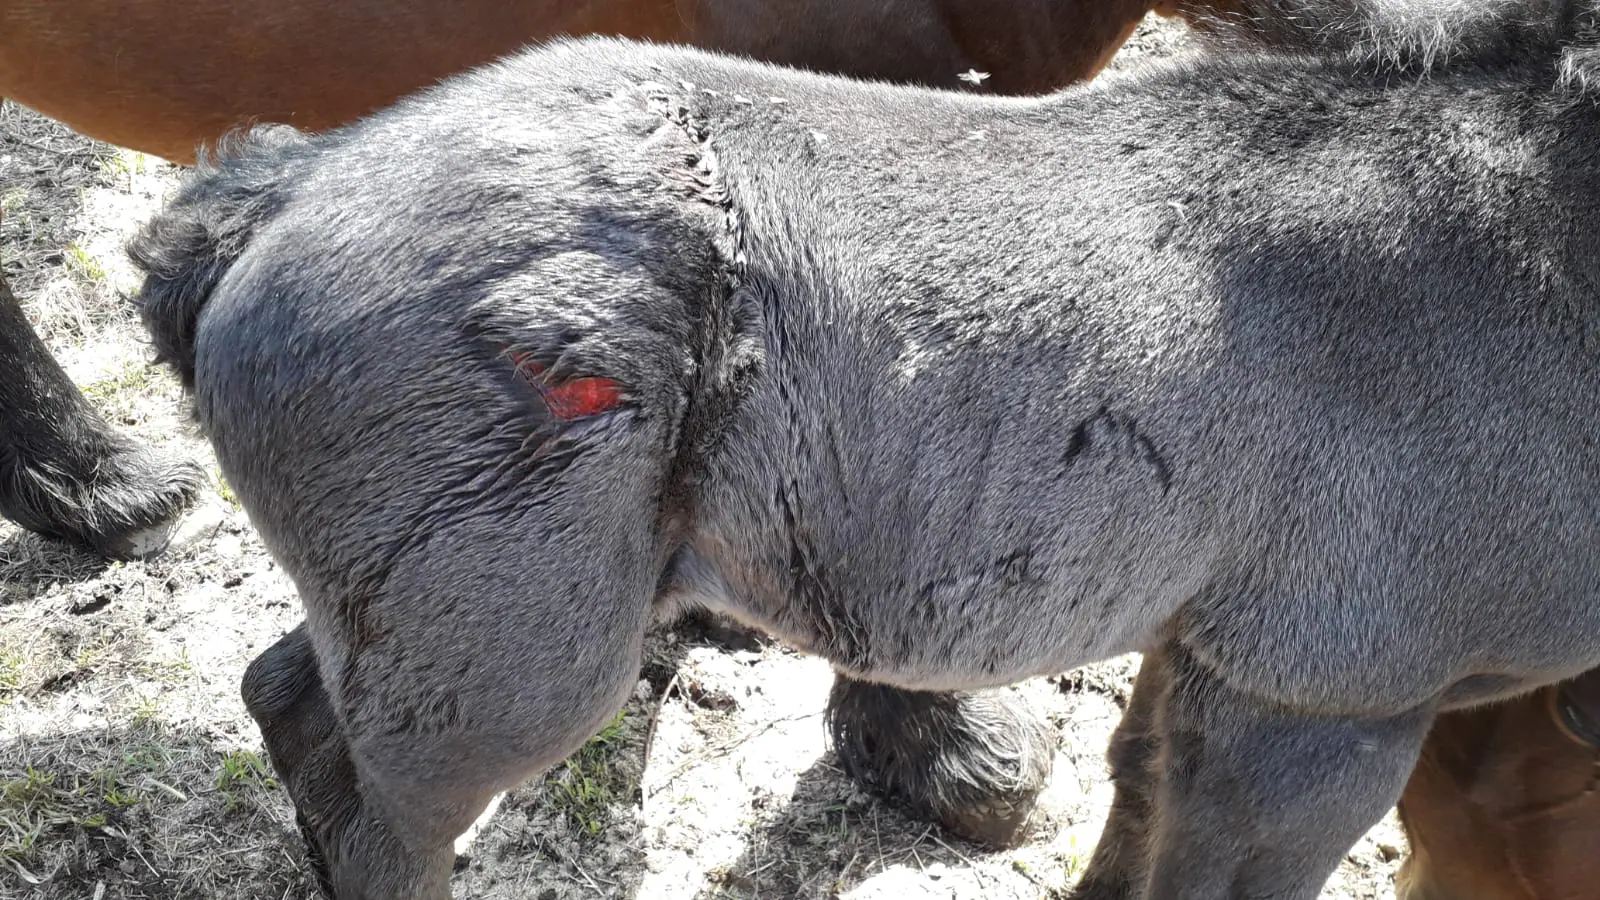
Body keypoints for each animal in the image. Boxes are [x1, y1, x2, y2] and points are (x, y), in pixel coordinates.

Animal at [131, 3, 1600, 890]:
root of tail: (282, 191)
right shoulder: (1325, 701)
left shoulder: (1201, 653)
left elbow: (1133, 807)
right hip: (511, 658)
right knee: (389, 815)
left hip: (427, 624)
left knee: (293, 706)